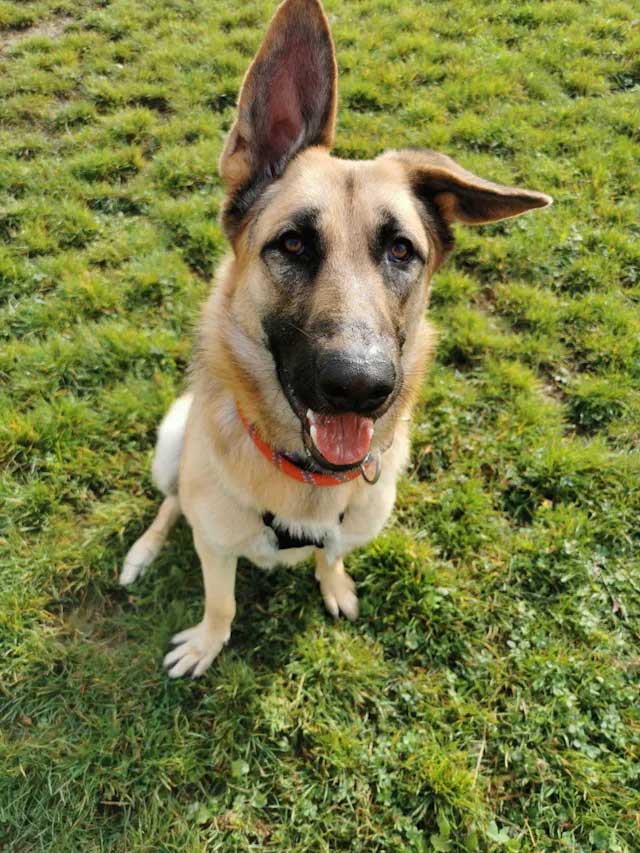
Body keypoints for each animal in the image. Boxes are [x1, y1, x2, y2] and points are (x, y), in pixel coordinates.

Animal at [120, 0, 552, 677]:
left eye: (401, 250)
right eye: (293, 243)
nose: (360, 387)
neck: (305, 479)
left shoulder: (346, 531)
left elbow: (331, 555)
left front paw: (335, 585)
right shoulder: (215, 548)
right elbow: (222, 602)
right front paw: (208, 642)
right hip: (171, 443)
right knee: (170, 506)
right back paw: (141, 552)